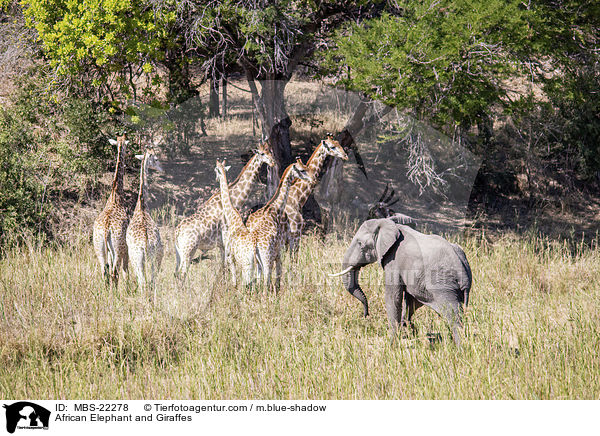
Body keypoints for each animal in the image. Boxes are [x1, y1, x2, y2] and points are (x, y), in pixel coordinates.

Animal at [175, 143, 276, 280]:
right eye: (262, 153)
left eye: (270, 151)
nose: (273, 162)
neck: (234, 199)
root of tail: (177, 232)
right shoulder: (225, 242)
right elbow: (226, 267)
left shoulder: (222, 245)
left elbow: (223, 267)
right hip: (188, 251)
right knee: (182, 273)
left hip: (179, 254)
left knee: (176, 273)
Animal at [245, 158, 312, 290]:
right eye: (302, 170)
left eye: (306, 167)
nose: (313, 179)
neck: (275, 209)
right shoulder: (280, 248)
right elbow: (279, 272)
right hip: (267, 258)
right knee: (266, 279)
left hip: (253, 259)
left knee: (256, 279)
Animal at [330, 218, 472, 344]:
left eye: (360, 244)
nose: (366, 315)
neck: (388, 224)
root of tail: (461, 265)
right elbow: (411, 299)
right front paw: (409, 331)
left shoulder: (393, 261)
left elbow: (393, 297)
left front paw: (391, 344)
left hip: (442, 284)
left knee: (454, 316)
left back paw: (460, 348)